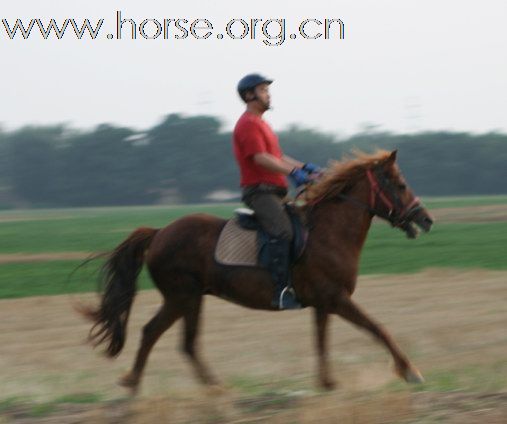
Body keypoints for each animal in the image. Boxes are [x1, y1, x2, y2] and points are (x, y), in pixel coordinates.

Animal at [81, 151, 434, 392]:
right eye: (400, 184)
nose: (426, 219)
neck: (330, 232)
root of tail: (159, 233)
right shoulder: (336, 299)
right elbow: (378, 328)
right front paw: (410, 371)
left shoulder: (324, 304)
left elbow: (321, 341)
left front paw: (327, 384)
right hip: (182, 297)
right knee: (155, 333)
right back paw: (141, 384)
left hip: (190, 299)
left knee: (183, 342)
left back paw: (209, 388)